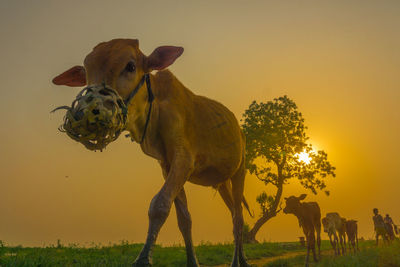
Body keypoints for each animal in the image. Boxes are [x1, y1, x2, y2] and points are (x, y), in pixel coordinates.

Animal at [50, 38, 250, 266]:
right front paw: (192, 261)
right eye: (86, 73)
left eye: (130, 66)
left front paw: (144, 257)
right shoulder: (167, 165)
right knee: (234, 214)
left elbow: (159, 205)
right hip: (222, 182)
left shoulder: (184, 160)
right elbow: (184, 219)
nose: (85, 113)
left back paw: (239, 261)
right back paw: (240, 257)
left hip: (239, 171)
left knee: (238, 218)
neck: (155, 111)